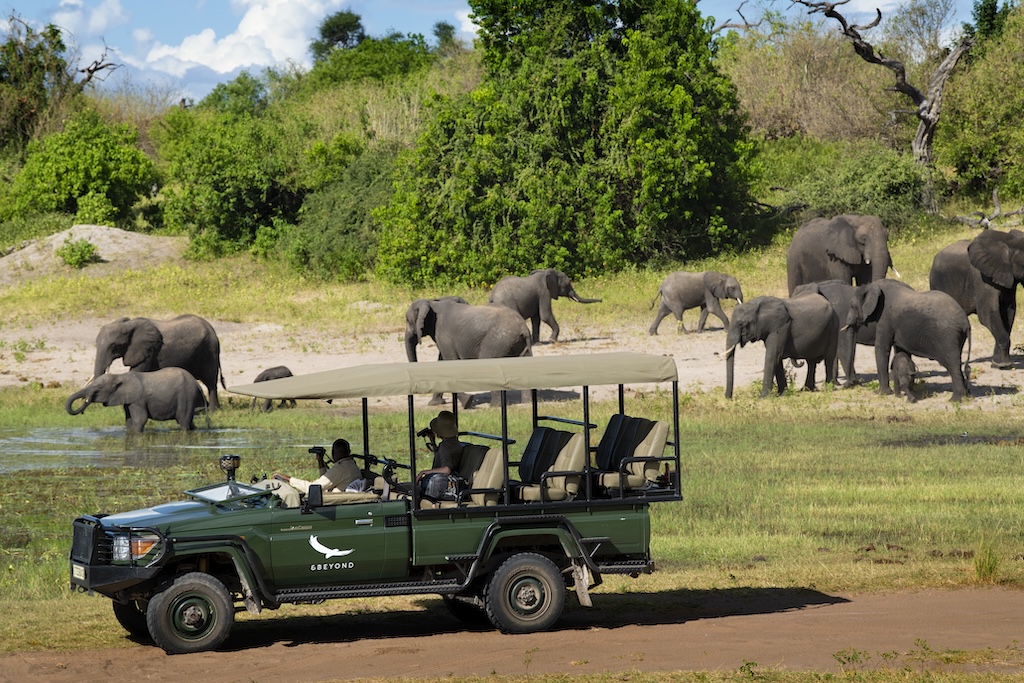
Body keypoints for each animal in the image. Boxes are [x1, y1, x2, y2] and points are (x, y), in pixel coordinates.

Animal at [65, 367, 206, 433]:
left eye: (98, 388)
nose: (83, 409)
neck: (119, 376)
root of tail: (196, 383)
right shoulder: (128, 400)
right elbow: (129, 421)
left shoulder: (138, 400)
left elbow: (140, 420)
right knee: (190, 423)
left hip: (186, 396)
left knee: (183, 421)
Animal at [93, 314, 225, 411]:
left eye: (114, 346)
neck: (128, 325)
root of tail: (212, 329)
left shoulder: (149, 350)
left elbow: (135, 372)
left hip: (209, 349)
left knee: (210, 381)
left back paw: (213, 410)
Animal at [929, 229, 1024, 368]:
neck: (1009, 242)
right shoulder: (982, 278)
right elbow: (987, 314)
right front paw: (1003, 366)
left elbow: (1008, 312)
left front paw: (999, 364)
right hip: (938, 282)